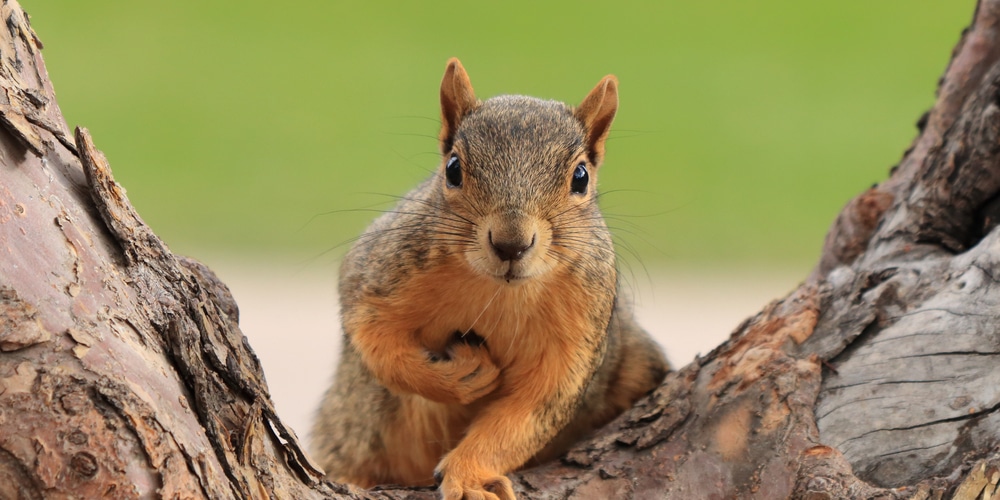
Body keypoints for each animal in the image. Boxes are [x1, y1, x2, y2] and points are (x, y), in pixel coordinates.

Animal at [310, 59, 672, 500]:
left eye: (581, 177)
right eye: (452, 169)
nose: (510, 244)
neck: (497, 292)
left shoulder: (578, 335)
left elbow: (526, 415)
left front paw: (468, 475)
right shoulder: (378, 273)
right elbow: (376, 343)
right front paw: (458, 377)